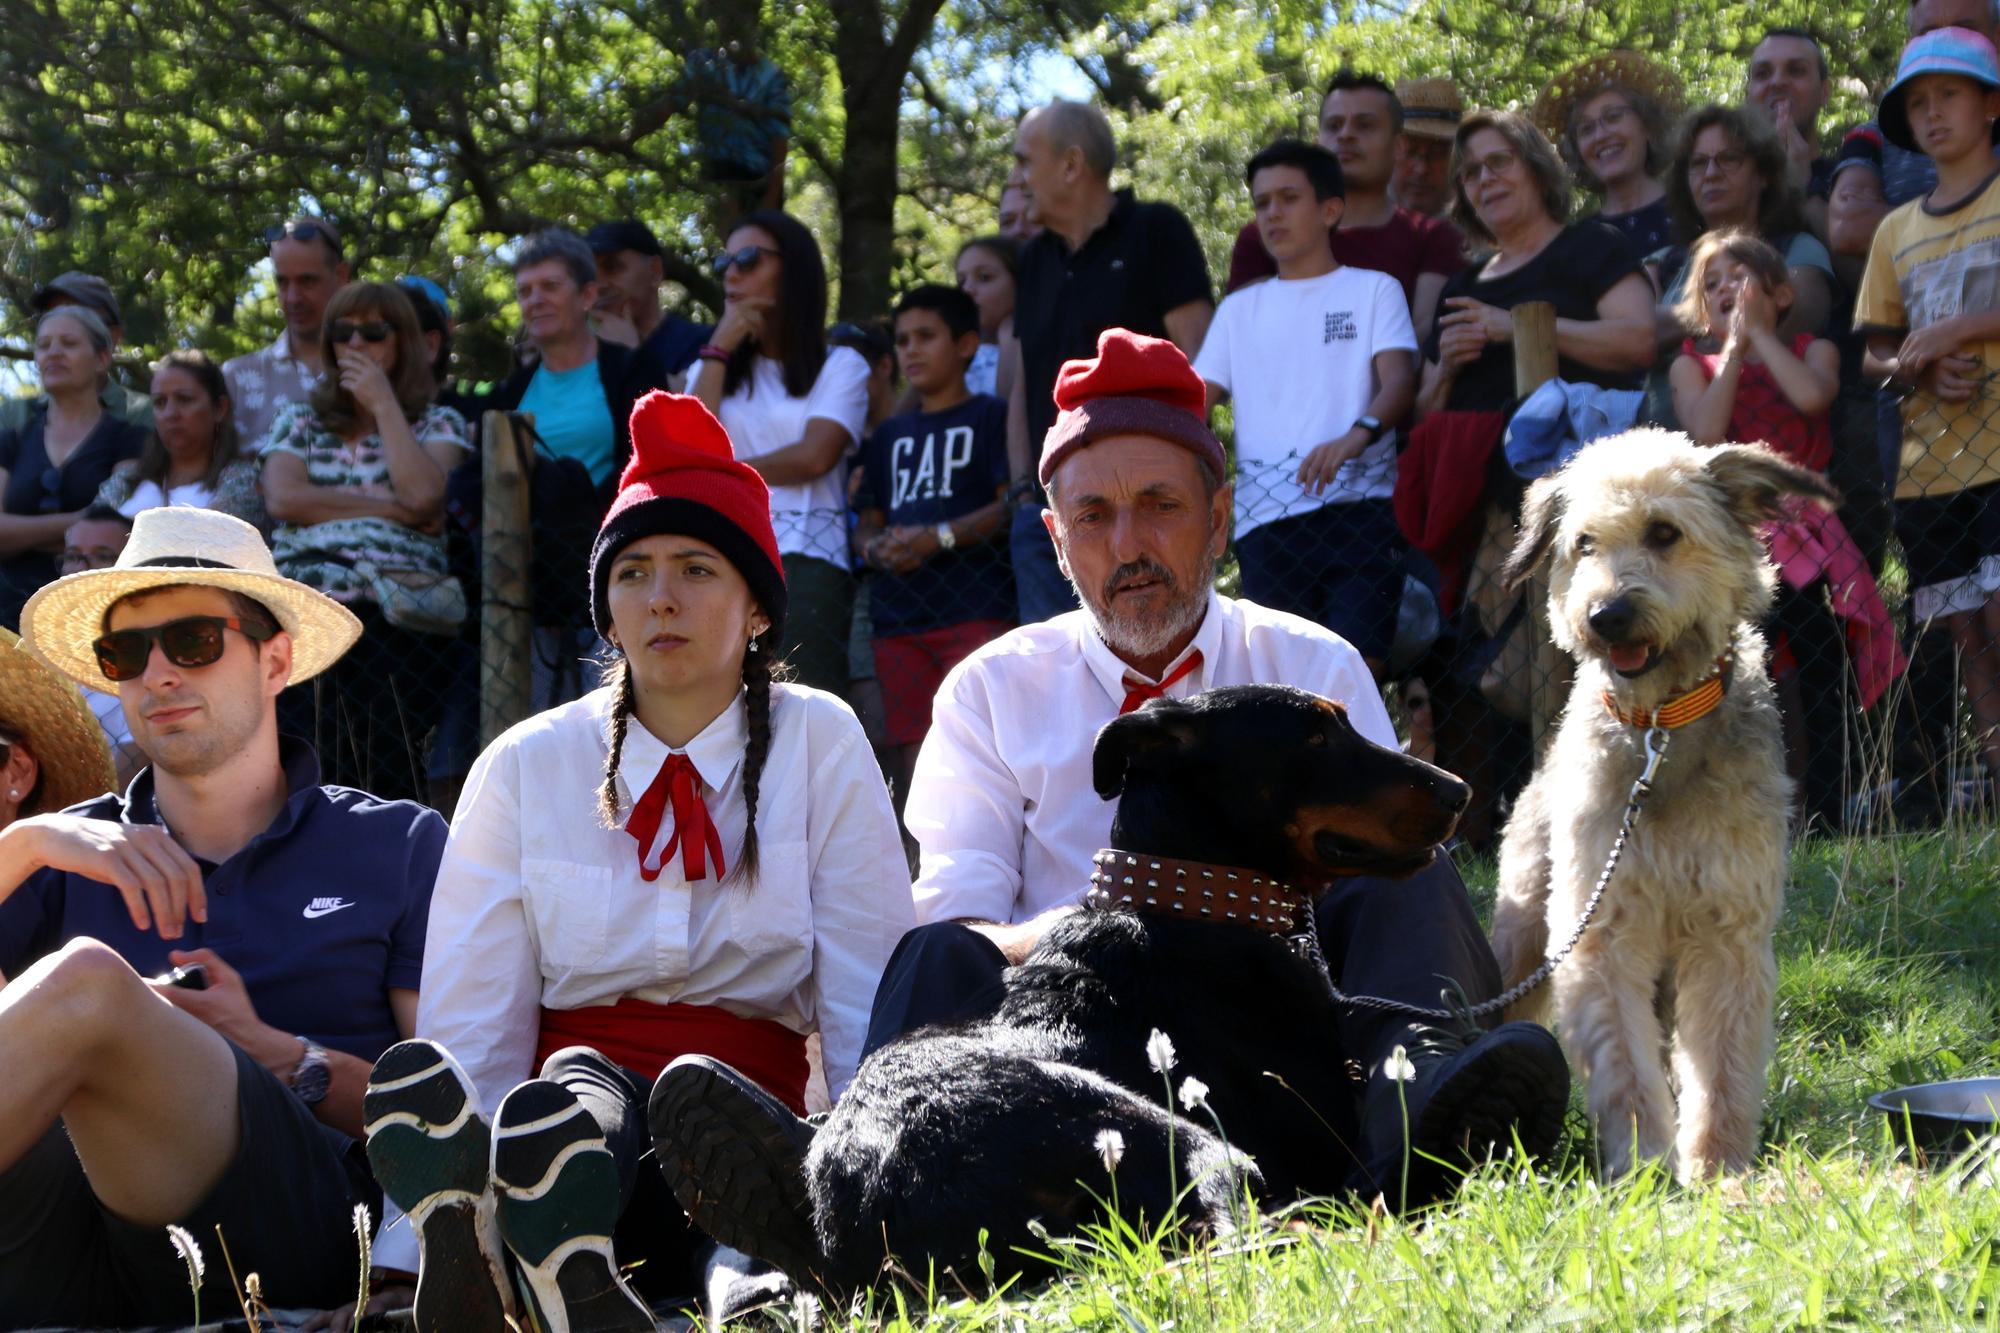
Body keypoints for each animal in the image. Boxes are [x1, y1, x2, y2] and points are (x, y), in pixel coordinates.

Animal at [796, 680, 1472, 1280]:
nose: (1460, 792)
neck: (1201, 903)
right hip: (1187, 1139)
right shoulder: (1323, 1134)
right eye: (1316, 739)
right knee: (1246, 1233)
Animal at [1496, 430, 1832, 1176]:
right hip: (1524, 936)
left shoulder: (1727, 932)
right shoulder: (1602, 930)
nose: (1606, 614)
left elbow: (1723, 1063)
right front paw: (1646, 1166)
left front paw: (1718, 1168)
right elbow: (1624, 1062)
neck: (1662, 729)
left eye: (1664, 532)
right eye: (1584, 543)